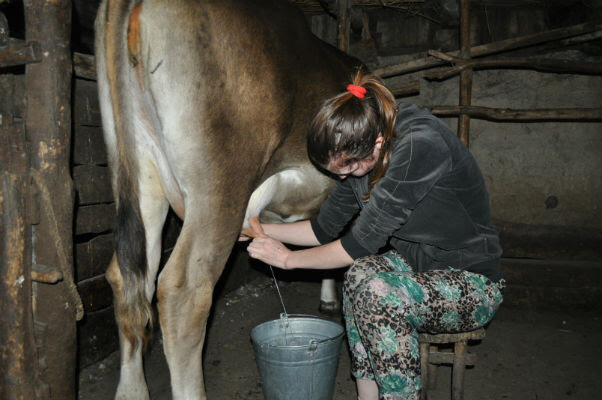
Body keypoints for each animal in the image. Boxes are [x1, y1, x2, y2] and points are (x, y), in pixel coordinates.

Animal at [93, 0, 356, 398]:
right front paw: (330, 296)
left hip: (139, 168)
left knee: (131, 278)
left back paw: (131, 391)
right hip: (220, 183)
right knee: (185, 292)